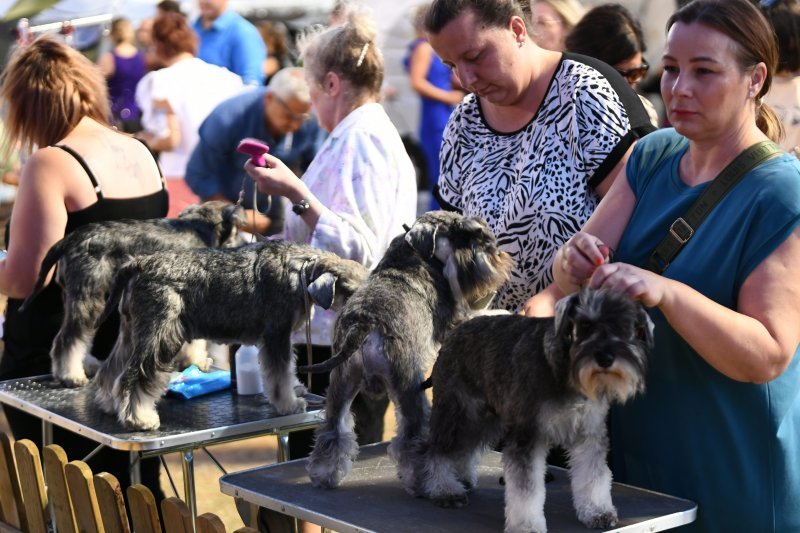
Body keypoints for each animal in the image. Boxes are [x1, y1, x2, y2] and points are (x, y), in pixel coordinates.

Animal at [19, 201, 244, 386]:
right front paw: (196, 362)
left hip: (78, 296)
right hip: (89, 294)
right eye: (235, 231)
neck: (199, 228)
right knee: (67, 338)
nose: (238, 245)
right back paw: (71, 375)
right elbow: (196, 341)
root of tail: (71, 239)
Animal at [92, 239, 368, 430]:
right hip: (158, 335)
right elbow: (279, 375)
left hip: (131, 334)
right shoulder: (276, 335)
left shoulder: (281, 339)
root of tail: (137, 264)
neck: (302, 269)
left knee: (110, 371)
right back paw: (138, 418)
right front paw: (289, 404)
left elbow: (287, 370)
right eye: (352, 292)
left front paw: (296, 390)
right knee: (134, 376)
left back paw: (110, 404)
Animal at [298, 210, 512, 492]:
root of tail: (364, 322)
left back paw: (324, 475)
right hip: (408, 384)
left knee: (333, 431)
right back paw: (425, 482)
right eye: (463, 233)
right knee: (412, 437)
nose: (495, 252)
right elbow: (476, 316)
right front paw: (503, 312)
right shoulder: (452, 322)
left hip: (342, 383)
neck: (416, 254)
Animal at [416, 286, 652, 532]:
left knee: (465, 449)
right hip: (457, 413)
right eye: (585, 326)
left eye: (624, 328)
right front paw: (527, 525)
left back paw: (462, 478)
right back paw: (444, 489)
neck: (562, 367)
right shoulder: (528, 436)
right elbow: (526, 490)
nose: (605, 358)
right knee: (437, 451)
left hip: (486, 419)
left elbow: (593, 476)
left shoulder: (589, 434)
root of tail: (459, 328)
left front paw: (597, 511)